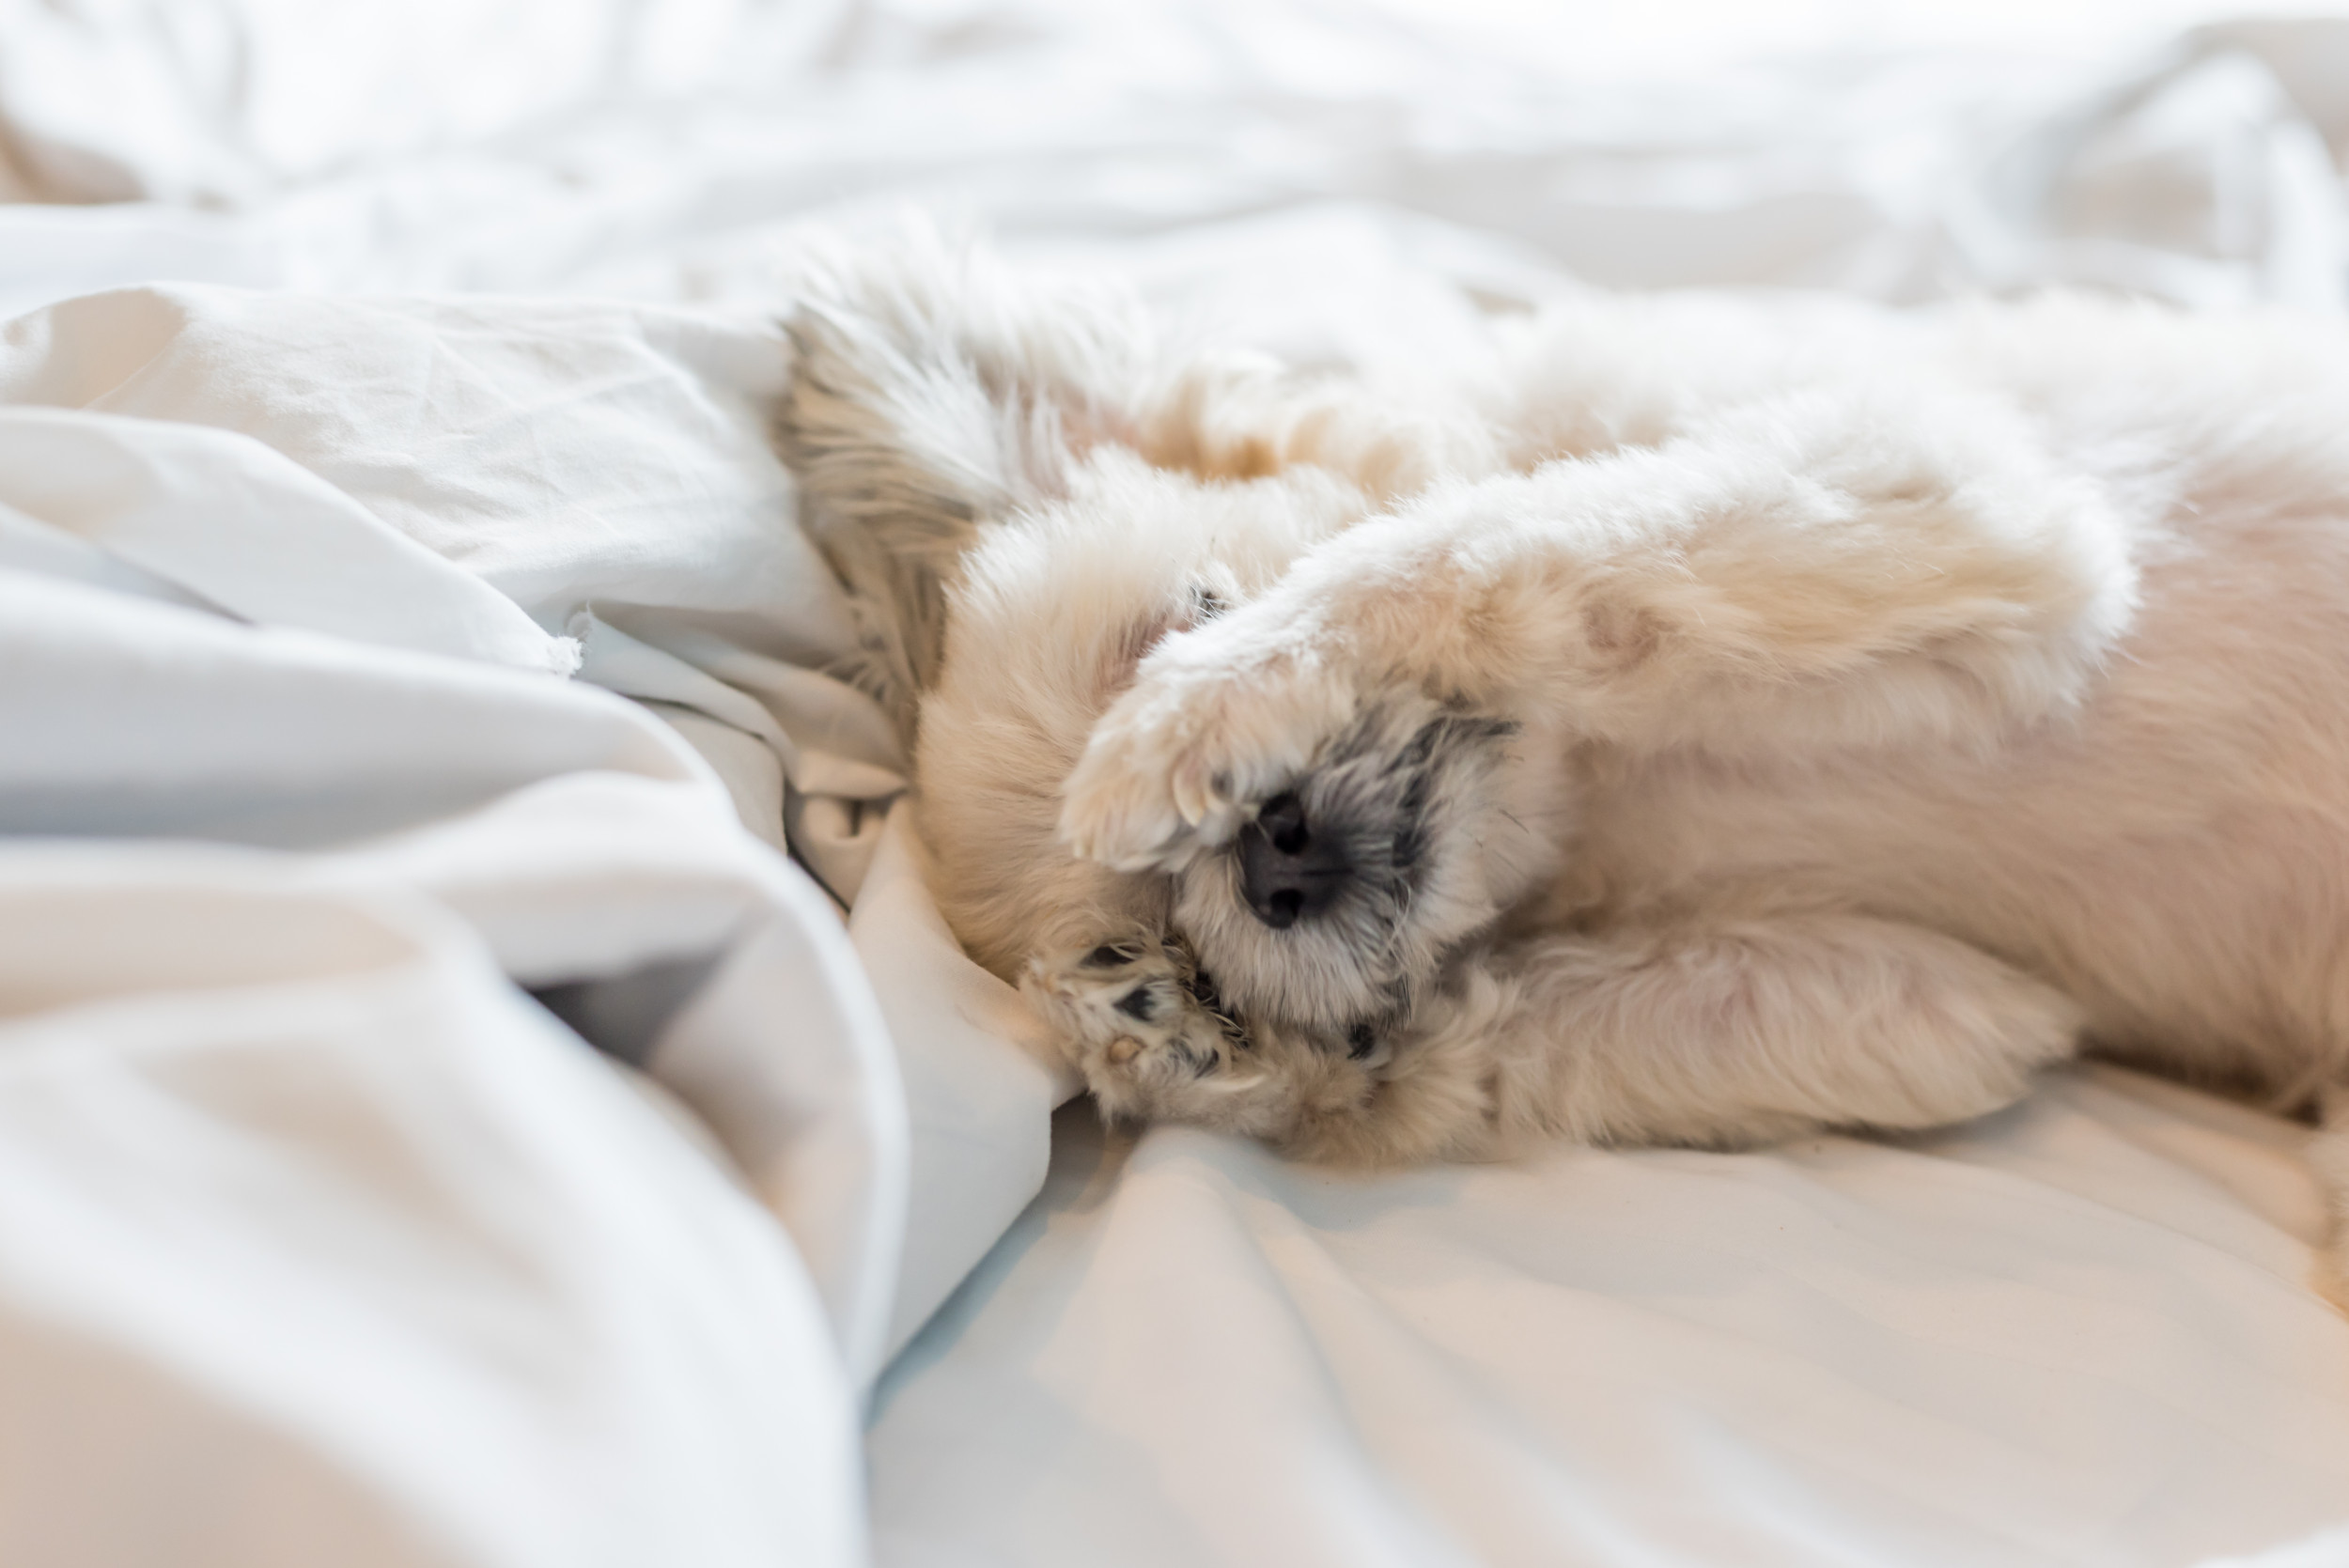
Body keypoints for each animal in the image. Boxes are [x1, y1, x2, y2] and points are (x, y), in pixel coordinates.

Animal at [780, 245, 2349, 1296]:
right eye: (1197, 960)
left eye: (1197, 609)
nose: (1269, 850)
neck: (1589, 789)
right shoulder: (1932, 1007)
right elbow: (1482, 1042)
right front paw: (1186, 1054)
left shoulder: (1943, 486)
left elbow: (1496, 530)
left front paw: (1207, 713)